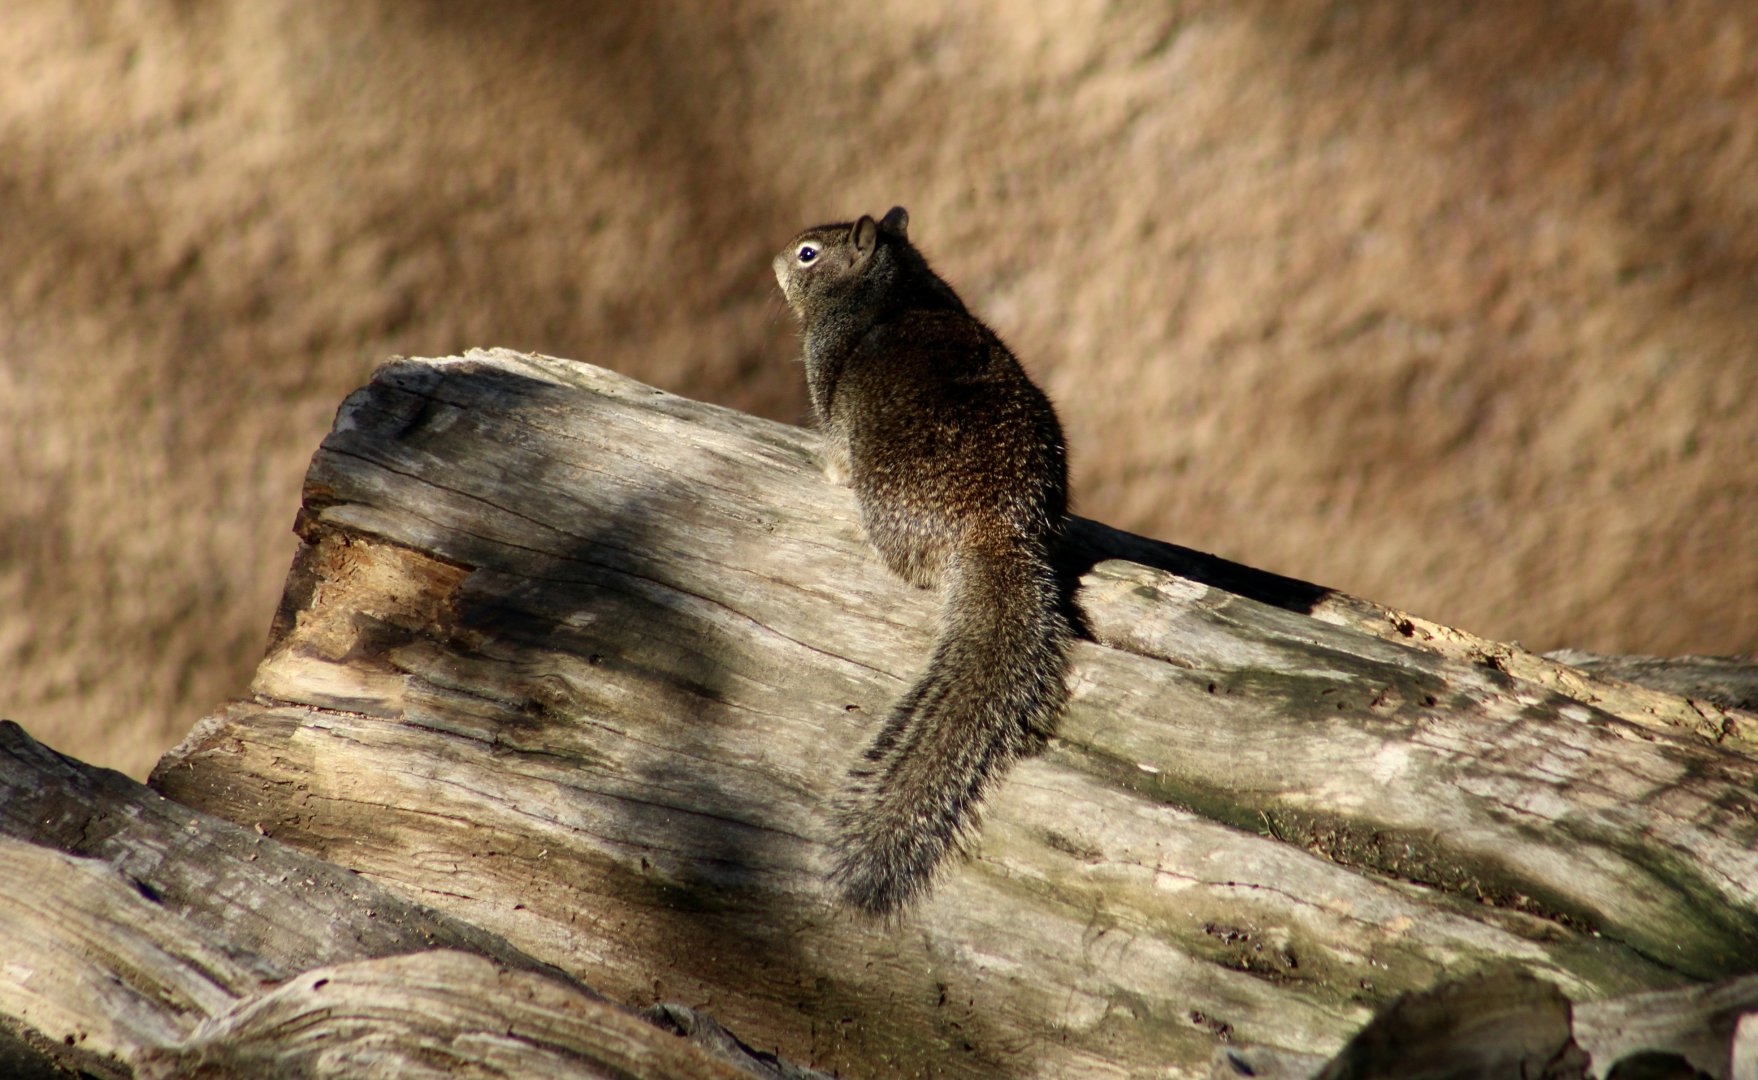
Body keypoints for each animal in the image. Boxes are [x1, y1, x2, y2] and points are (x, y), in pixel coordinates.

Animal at [772, 206, 1072, 915]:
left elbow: (833, 450)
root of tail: (993, 527)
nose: (771, 261)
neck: (891, 289)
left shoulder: (825, 388)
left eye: (807, 254)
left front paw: (822, 469)